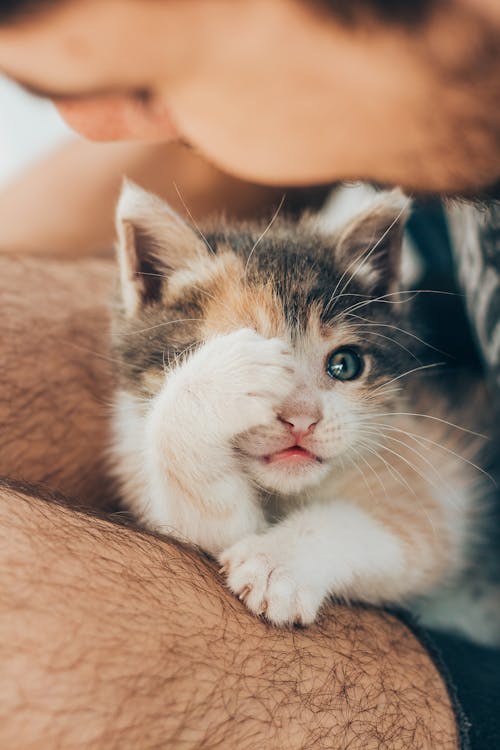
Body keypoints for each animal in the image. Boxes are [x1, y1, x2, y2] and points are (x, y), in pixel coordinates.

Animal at [108, 184, 496, 648]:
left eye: (345, 365)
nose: (301, 420)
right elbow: (209, 521)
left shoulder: (428, 473)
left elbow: (397, 532)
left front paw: (277, 563)